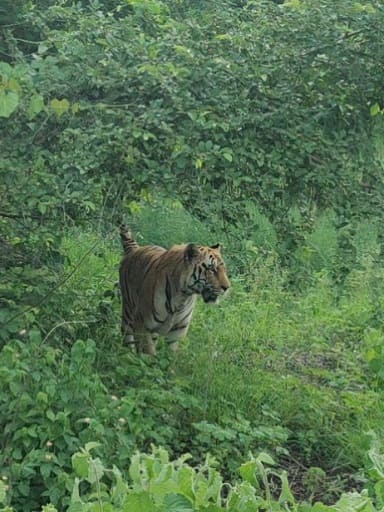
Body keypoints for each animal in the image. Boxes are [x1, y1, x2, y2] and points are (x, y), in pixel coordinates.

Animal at [117, 225, 231, 356]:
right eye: (212, 269)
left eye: (224, 269)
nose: (227, 287)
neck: (183, 296)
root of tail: (134, 248)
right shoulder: (142, 325)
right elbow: (148, 354)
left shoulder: (177, 331)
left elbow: (171, 357)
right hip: (128, 312)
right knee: (127, 338)